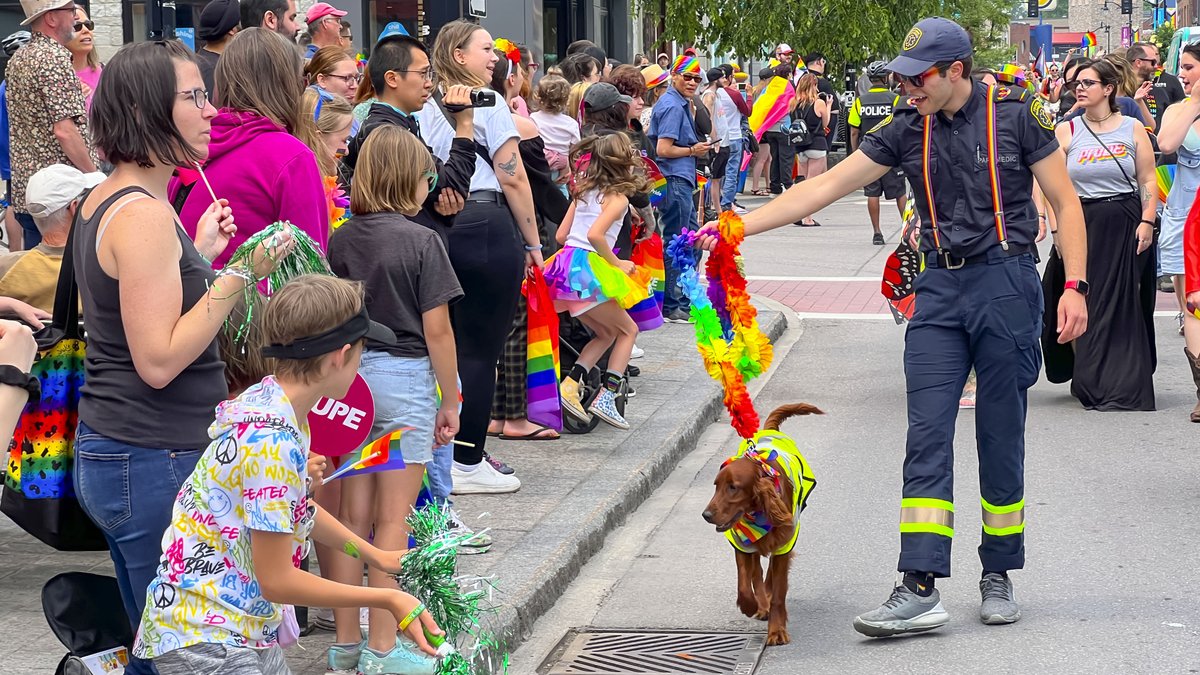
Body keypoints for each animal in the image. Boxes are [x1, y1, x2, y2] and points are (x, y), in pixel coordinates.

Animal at [700, 401, 825, 643]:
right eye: (716, 485)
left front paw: (776, 630)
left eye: (733, 487)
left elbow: (778, 592)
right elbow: (745, 583)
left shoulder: (785, 545)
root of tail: (769, 429)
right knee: (757, 572)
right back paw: (761, 604)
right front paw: (752, 606)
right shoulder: (742, 544)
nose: (706, 515)